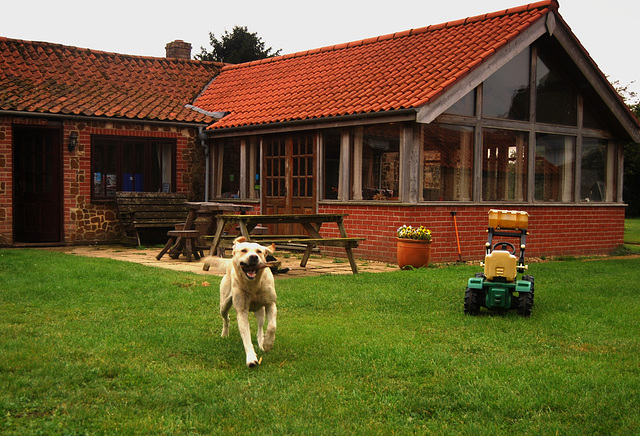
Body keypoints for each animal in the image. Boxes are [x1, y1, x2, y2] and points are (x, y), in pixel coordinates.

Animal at [204, 237, 276, 366]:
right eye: (244, 250)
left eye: (259, 251)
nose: (253, 257)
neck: (253, 285)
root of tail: (229, 262)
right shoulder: (242, 312)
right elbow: (246, 337)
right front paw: (251, 358)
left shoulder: (270, 304)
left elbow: (272, 326)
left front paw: (268, 344)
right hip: (224, 304)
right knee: (226, 318)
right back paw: (225, 333)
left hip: (260, 311)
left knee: (260, 328)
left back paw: (261, 342)